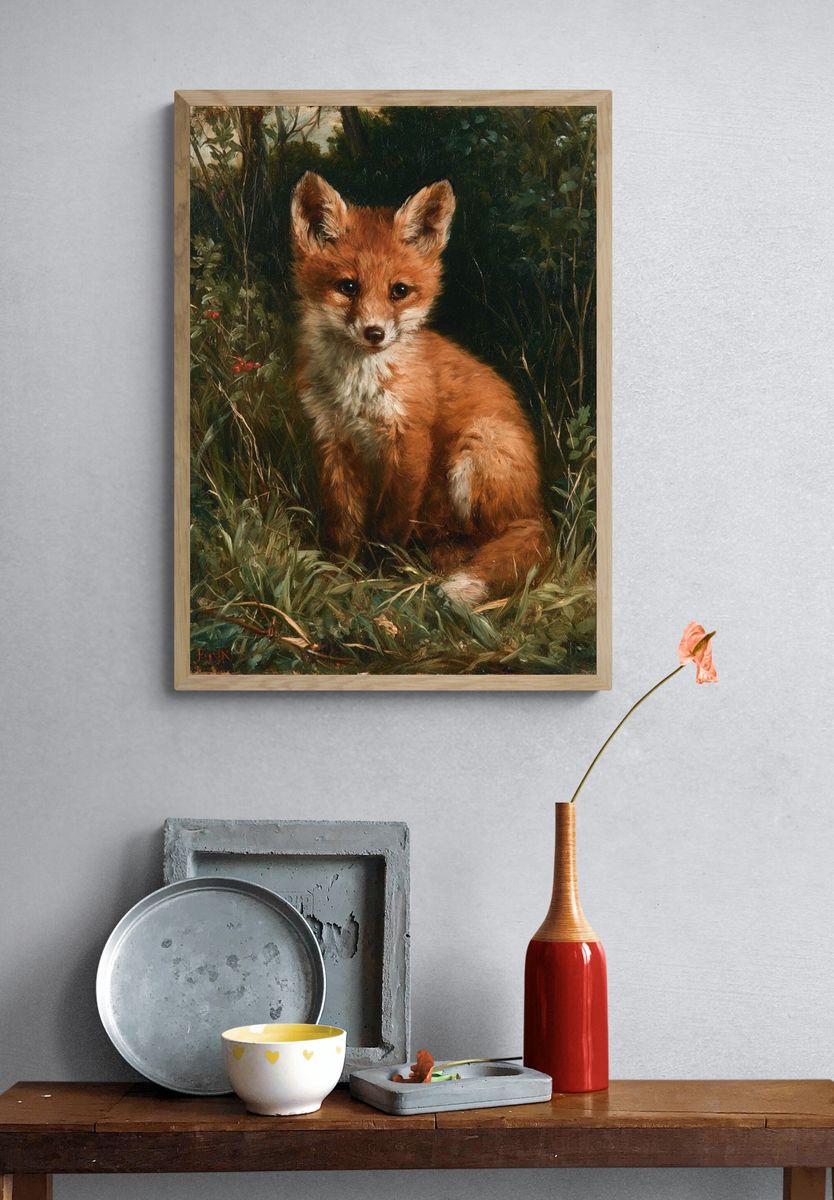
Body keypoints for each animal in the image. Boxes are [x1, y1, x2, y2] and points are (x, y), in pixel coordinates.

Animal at [290, 171, 550, 605]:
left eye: (399, 291)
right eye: (347, 287)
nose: (374, 333)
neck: (358, 390)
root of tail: (537, 509)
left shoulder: (410, 440)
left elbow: (390, 524)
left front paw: (379, 574)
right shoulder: (333, 438)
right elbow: (343, 522)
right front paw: (339, 573)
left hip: (476, 448)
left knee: (491, 536)